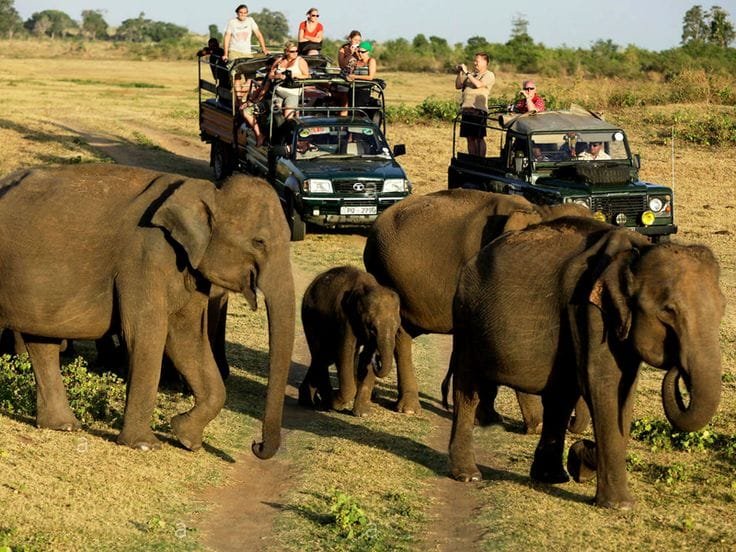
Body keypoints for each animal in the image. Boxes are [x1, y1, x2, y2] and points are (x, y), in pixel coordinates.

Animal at [0, 164, 295, 458]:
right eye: (259, 242)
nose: (256, 445)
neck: (207, 189)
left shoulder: (189, 271)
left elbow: (188, 339)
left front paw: (186, 437)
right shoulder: (144, 258)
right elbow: (146, 334)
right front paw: (144, 444)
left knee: (42, 342)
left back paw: (63, 425)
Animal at [298, 266, 401, 417]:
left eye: (397, 328)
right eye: (372, 328)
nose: (377, 358)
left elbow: (362, 360)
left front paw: (362, 414)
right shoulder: (345, 319)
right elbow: (345, 352)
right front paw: (336, 403)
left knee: (325, 357)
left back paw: (310, 400)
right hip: (310, 317)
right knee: (322, 355)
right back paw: (323, 402)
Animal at [363, 188, 592, 431]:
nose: (572, 423)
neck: (539, 209)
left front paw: (491, 418)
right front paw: (534, 425)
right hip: (385, 275)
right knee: (400, 336)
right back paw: (409, 408)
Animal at [448, 216, 725, 509]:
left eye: (723, 308)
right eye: (668, 311)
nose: (677, 370)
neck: (636, 252)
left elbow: (623, 392)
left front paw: (581, 460)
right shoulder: (588, 310)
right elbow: (602, 385)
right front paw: (619, 505)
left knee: (559, 397)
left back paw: (551, 477)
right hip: (465, 318)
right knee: (468, 388)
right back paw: (467, 475)